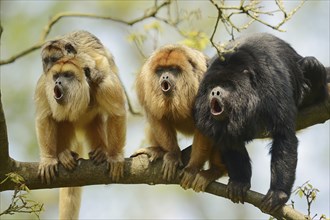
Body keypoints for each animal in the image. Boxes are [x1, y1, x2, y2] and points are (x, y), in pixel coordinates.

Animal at [35, 30, 126, 219]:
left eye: (54, 58)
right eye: (46, 61)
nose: (50, 71)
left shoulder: (100, 75)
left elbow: (116, 112)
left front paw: (114, 157)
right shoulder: (43, 84)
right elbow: (44, 117)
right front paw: (48, 159)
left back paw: (102, 151)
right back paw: (62, 154)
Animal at [131, 42, 227, 184]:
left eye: (173, 69)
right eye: (160, 70)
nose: (165, 76)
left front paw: (192, 169)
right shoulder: (144, 83)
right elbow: (156, 119)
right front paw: (173, 155)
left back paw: (215, 171)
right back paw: (157, 151)